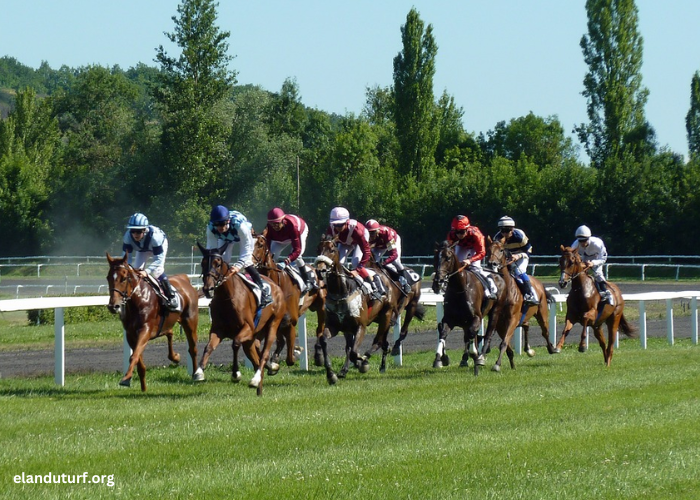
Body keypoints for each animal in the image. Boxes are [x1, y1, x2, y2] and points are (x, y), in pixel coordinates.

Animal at [106, 254, 200, 390]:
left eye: (123, 279)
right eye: (108, 277)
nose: (113, 306)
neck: (138, 300)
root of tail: (184, 279)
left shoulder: (145, 329)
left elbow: (134, 356)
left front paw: (125, 378)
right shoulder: (130, 334)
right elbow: (138, 360)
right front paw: (142, 386)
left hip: (190, 321)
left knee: (193, 348)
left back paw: (197, 374)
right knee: (170, 332)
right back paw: (175, 357)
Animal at [191, 242, 284, 394]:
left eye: (218, 263)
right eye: (203, 263)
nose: (208, 288)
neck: (227, 297)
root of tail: (276, 287)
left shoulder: (247, 328)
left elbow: (235, 343)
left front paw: (236, 374)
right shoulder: (218, 329)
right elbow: (208, 347)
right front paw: (199, 371)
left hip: (273, 323)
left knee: (264, 354)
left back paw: (256, 379)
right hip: (252, 338)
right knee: (256, 356)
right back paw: (262, 379)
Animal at [252, 232, 328, 370]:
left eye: (260, 244)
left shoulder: (290, 322)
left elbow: (290, 359)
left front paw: (297, 351)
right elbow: (258, 345)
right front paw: (272, 363)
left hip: (321, 307)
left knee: (320, 330)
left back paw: (318, 356)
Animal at [314, 234, 396, 382]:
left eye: (332, 249)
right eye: (318, 249)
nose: (320, 270)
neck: (341, 291)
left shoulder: (360, 326)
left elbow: (354, 352)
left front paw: (361, 362)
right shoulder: (334, 326)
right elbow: (324, 340)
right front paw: (331, 374)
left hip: (386, 316)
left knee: (378, 341)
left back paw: (368, 362)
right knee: (355, 345)